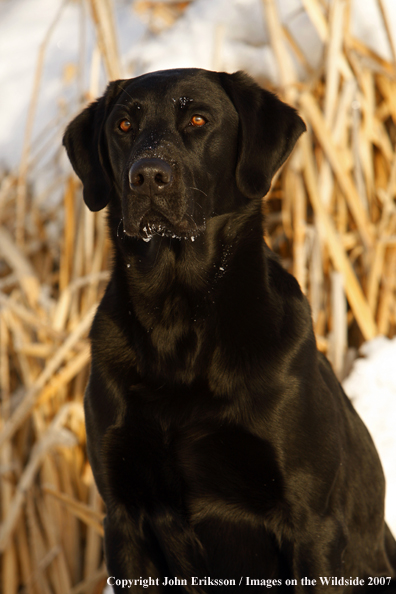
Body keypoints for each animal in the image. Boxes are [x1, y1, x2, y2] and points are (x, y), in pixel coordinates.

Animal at [62, 68, 396, 588]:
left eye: (198, 119)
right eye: (123, 126)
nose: (148, 176)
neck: (178, 317)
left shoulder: (311, 521)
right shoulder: (122, 518)